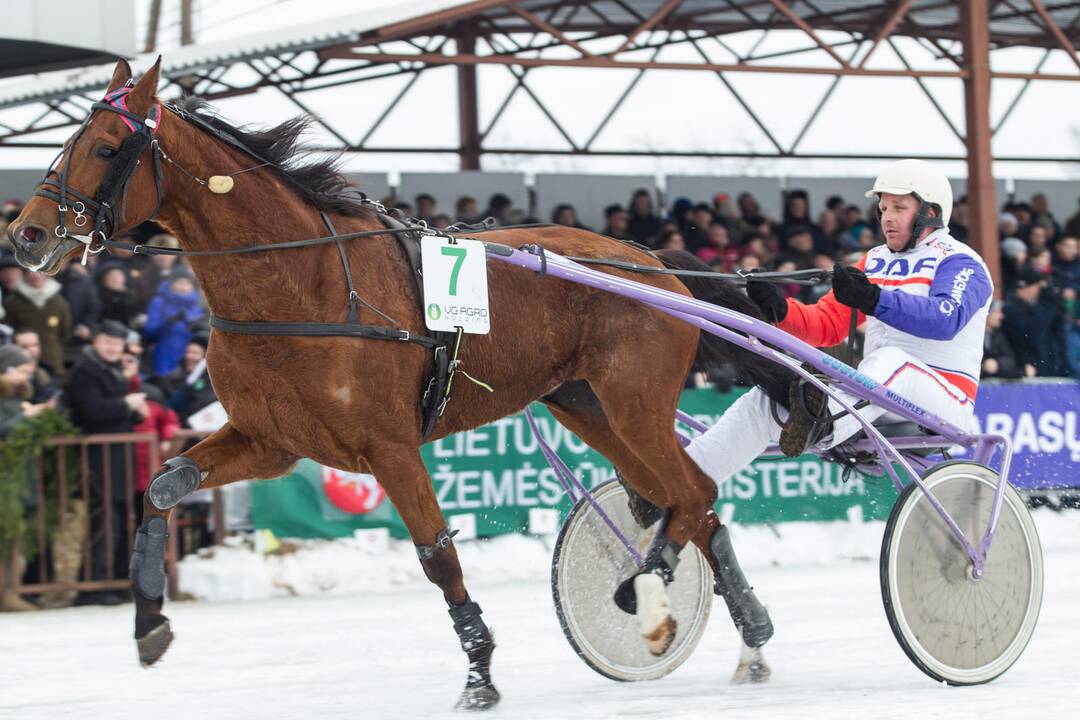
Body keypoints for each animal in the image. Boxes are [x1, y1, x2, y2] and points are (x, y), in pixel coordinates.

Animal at [4, 60, 790, 708]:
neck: (302, 283)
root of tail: (645, 259)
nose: (27, 235)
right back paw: (749, 635)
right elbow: (161, 488)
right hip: (587, 407)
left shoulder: (388, 446)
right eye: (70, 140)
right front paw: (148, 618)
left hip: (635, 404)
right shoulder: (270, 441)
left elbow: (437, 554)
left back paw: (649, 600)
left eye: (107, 147)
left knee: (691, 495)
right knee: (686, 504)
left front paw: (479, 671)